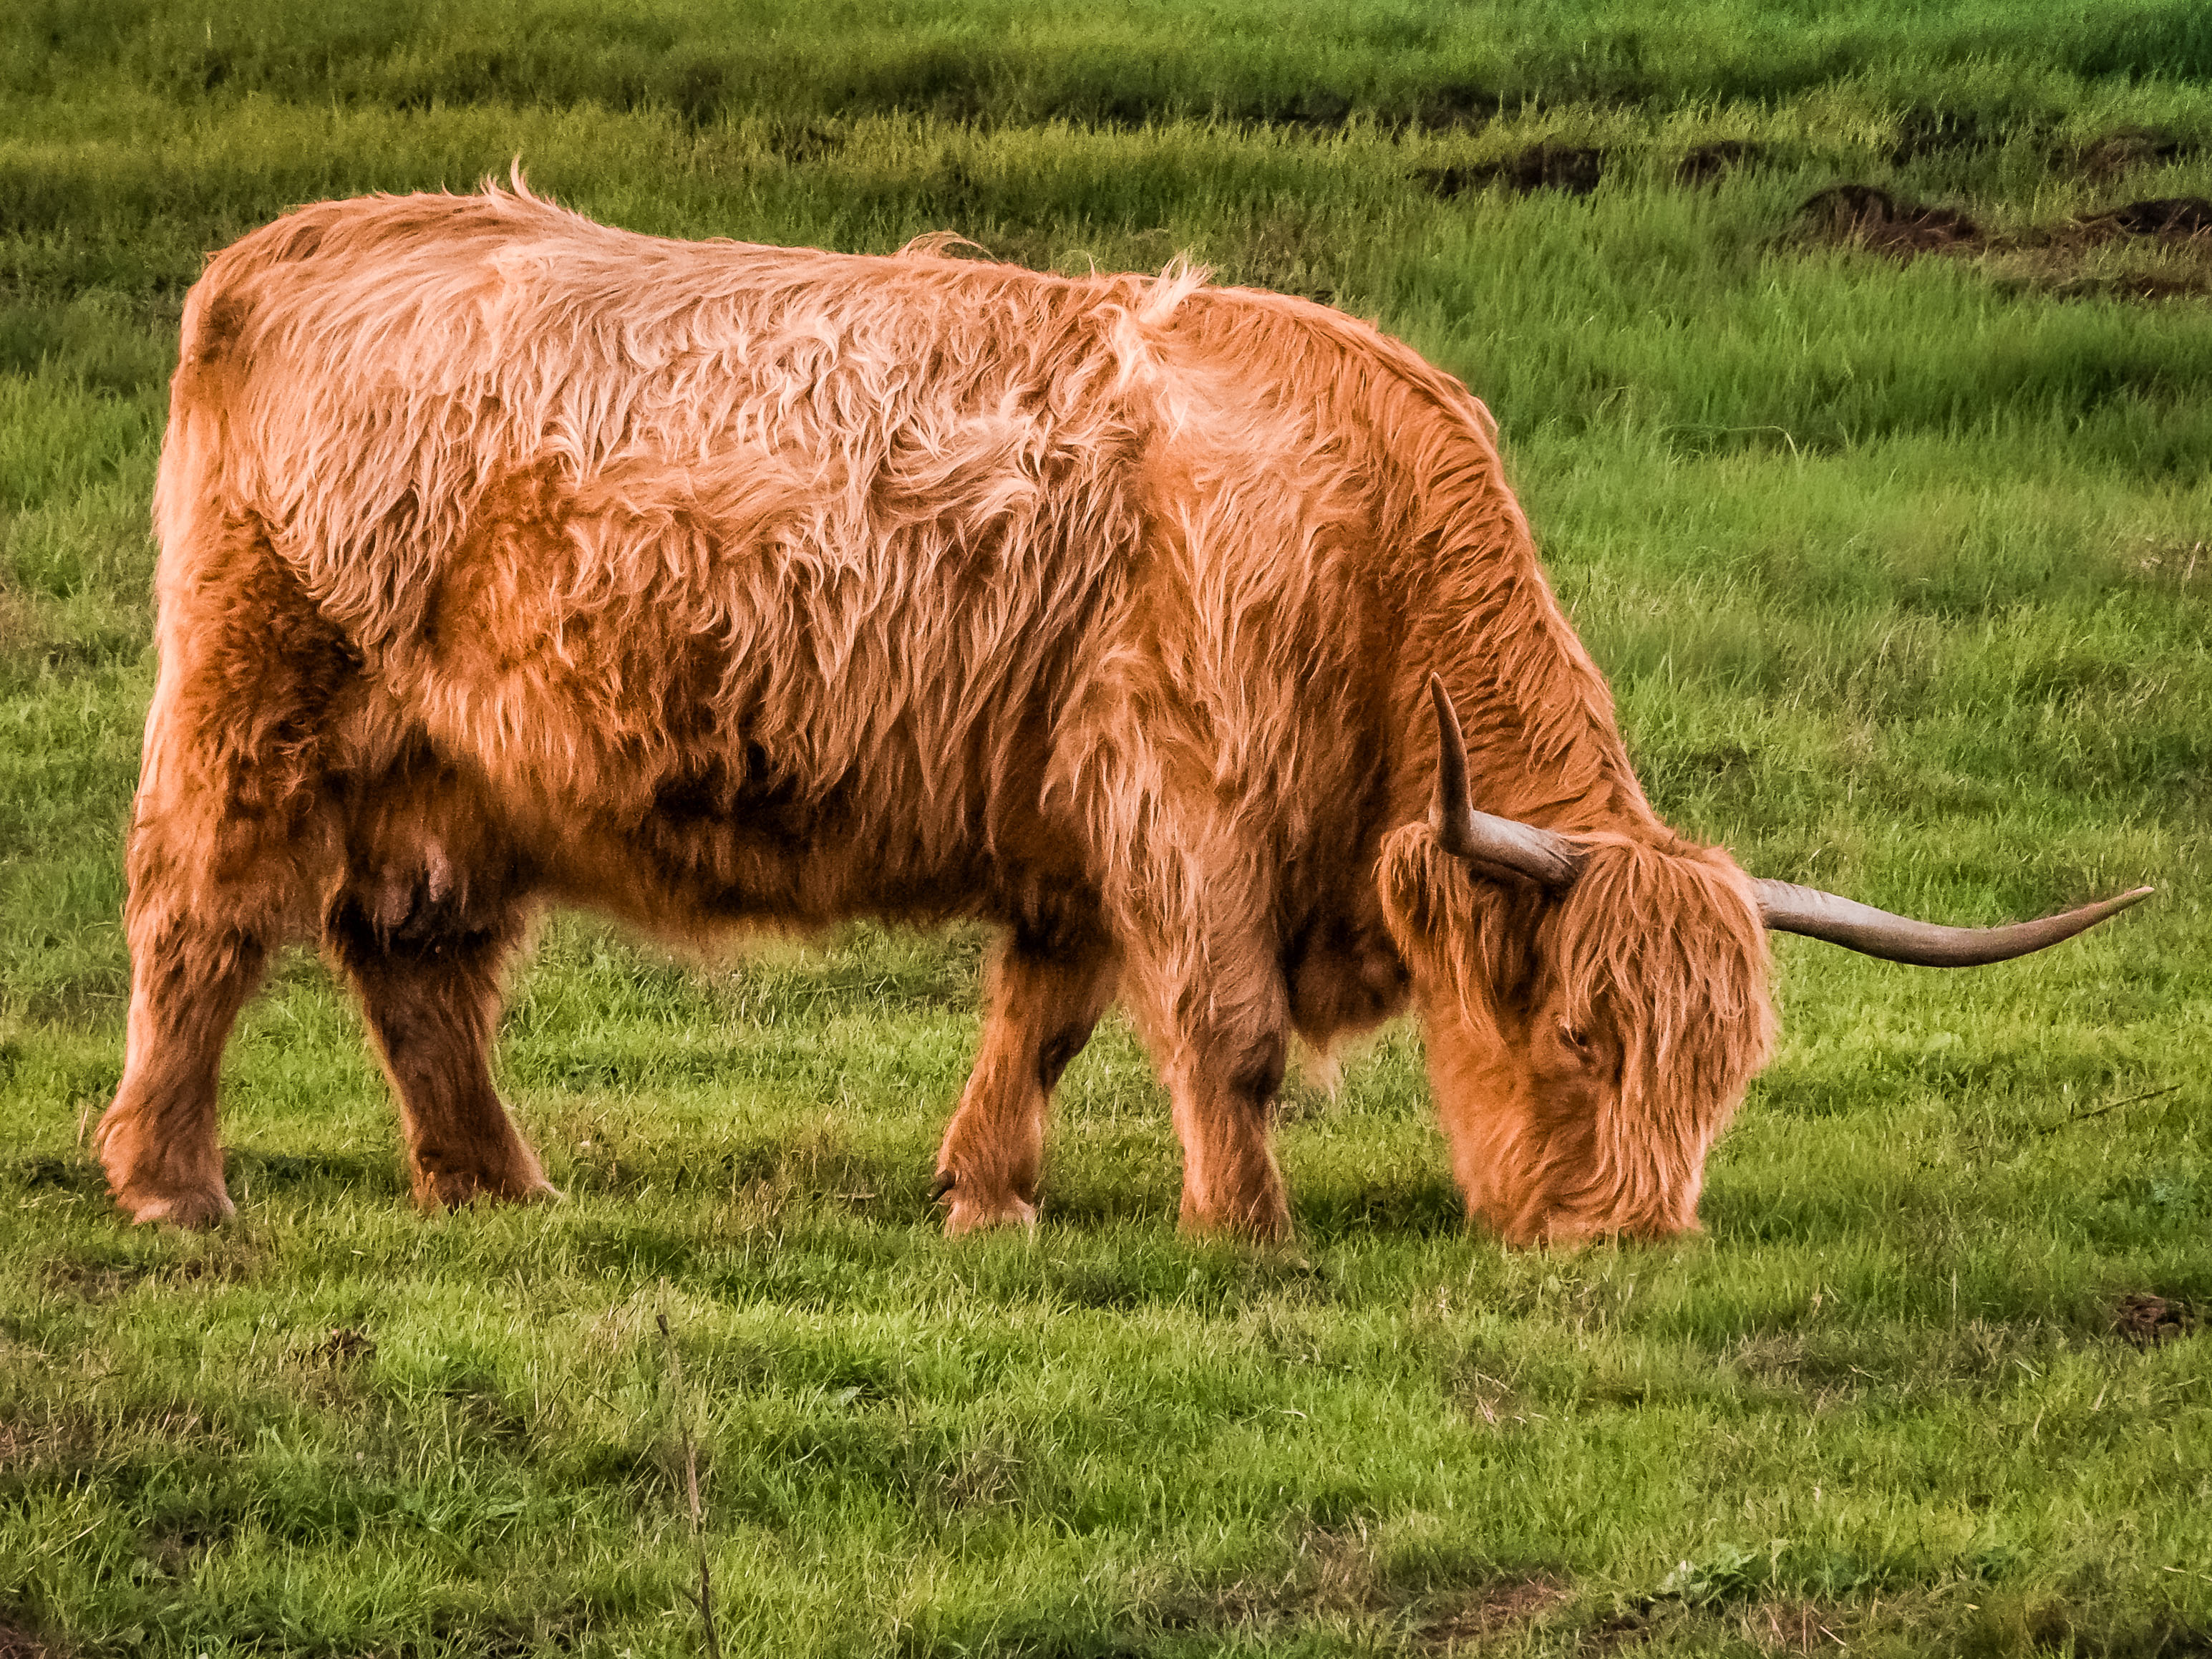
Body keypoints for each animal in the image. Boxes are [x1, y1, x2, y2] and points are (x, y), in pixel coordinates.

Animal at [96, 178, 2149, 1244]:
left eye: (1726, 1078)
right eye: (1580, 1036)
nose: (1627, 1239)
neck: (1363, 555)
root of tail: (307, 238)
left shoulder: (1074, 827)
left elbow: (1050, 1016)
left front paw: (985, 1196)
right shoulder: (1181, 802)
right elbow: (1221, 1036)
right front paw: (1249, 1231)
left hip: (447, 772)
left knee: (415, 957)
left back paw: (498, 1187)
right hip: (257, 703)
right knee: (202, 921)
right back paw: (173, 1187)